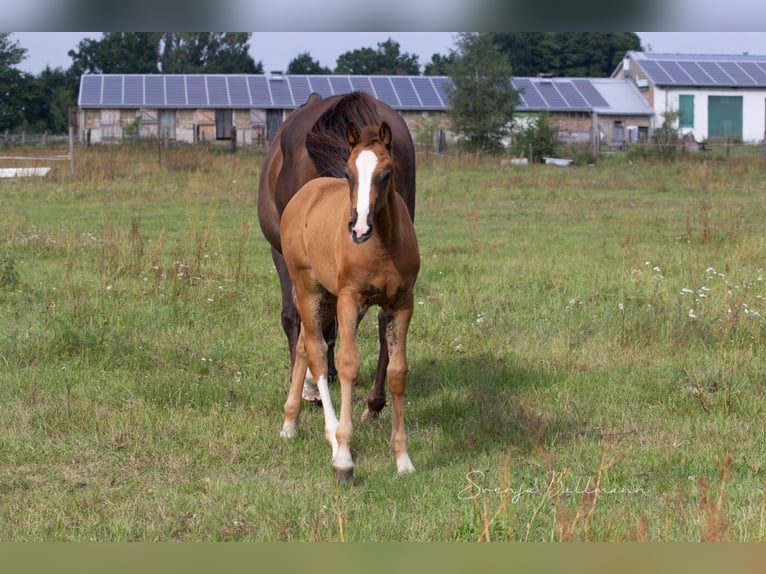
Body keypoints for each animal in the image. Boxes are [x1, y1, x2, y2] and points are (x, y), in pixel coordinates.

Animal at [280, 124, 424, 484]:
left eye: (386, 173)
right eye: (348, 172)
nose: (359, 228)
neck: (382, 246)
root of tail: (305, 193)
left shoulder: (402, 303)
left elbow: (398, 371)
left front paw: (403, 460)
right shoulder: (350, 299)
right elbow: (347, 364)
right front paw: (344, 458)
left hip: (326, 296)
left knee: (304, 345)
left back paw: (289, 423)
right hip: (309, 288)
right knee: (317, 351)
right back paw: (332, 439)